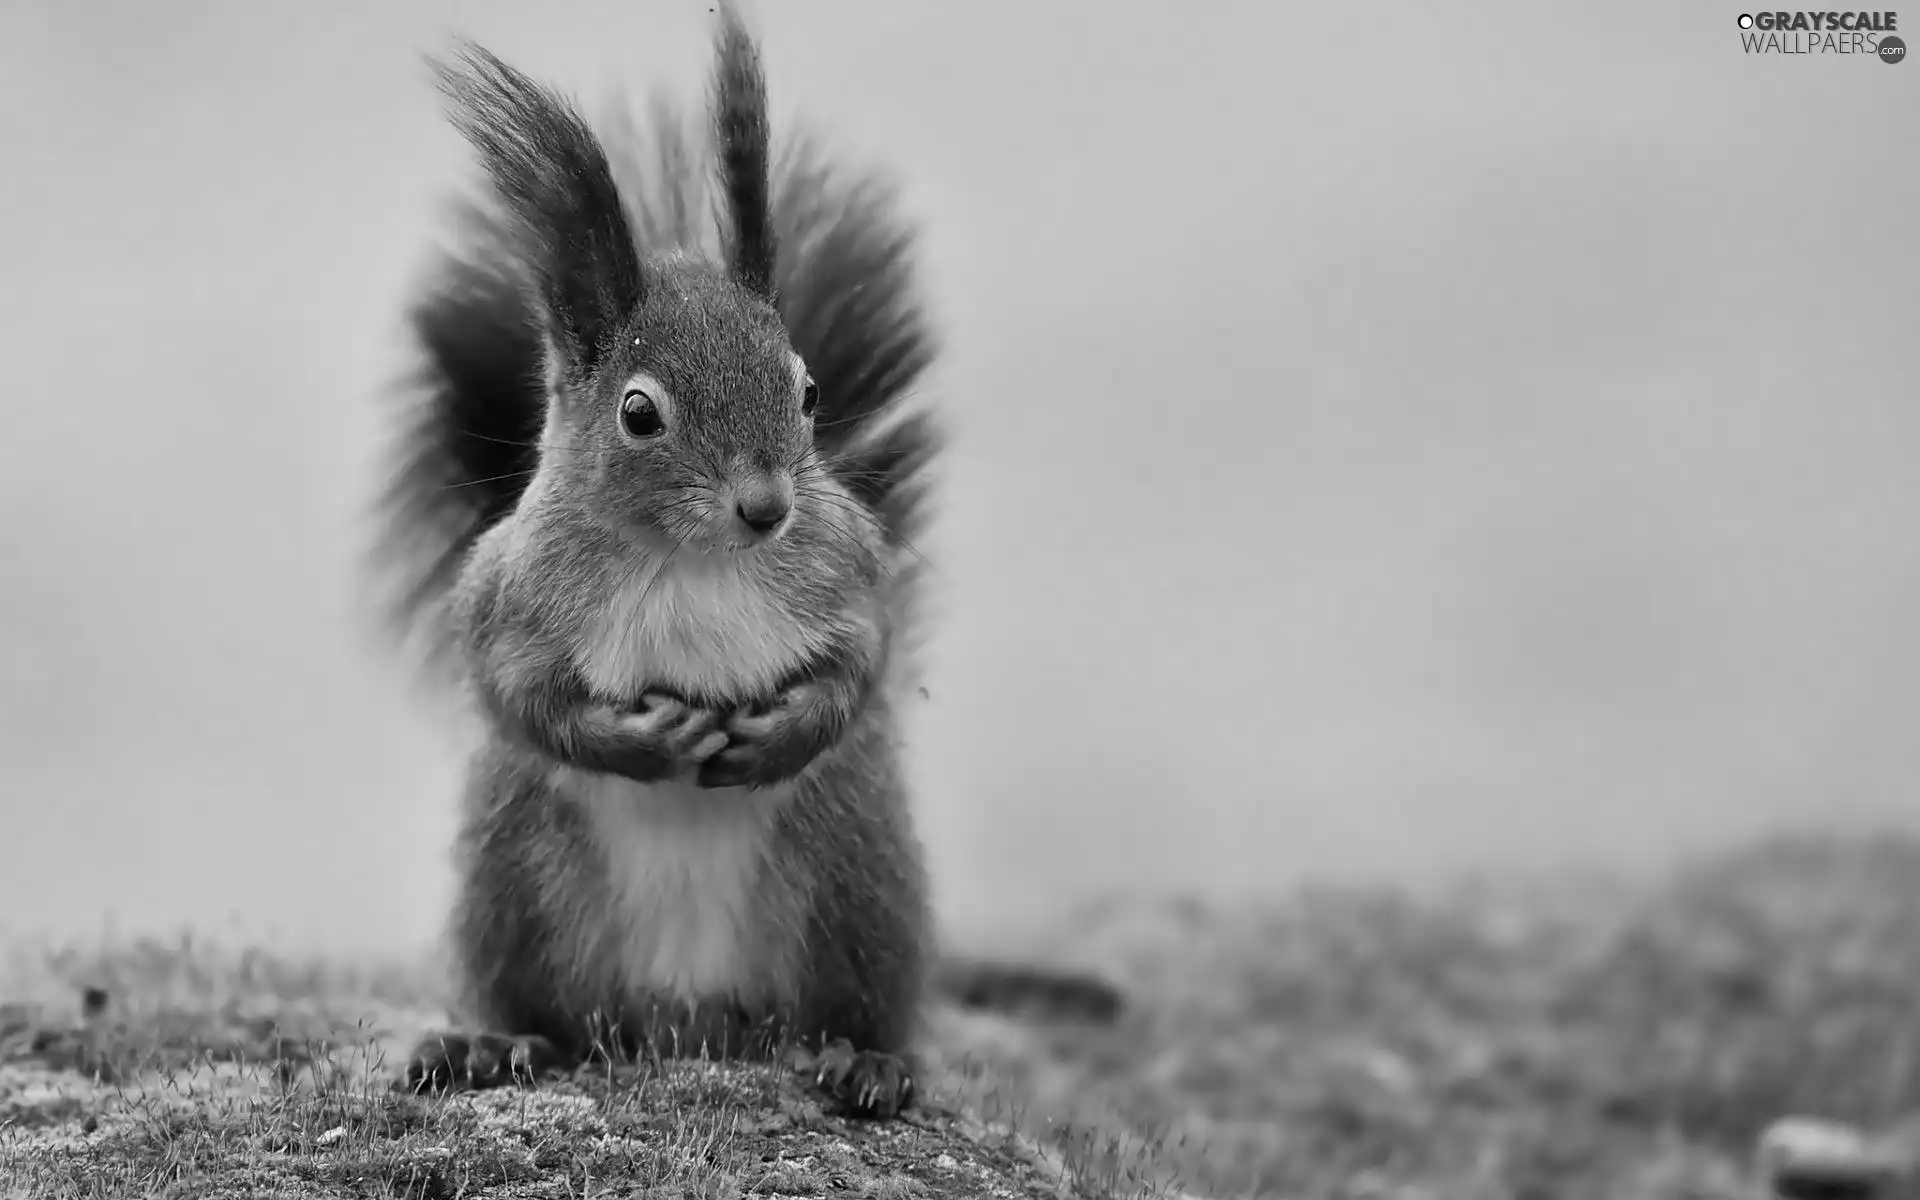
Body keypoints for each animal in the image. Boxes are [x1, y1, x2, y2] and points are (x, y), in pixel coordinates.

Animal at [366, 4, 1121, 1121]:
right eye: (639, 414)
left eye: (805, 391)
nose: (767, 507)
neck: (691, 558)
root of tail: (689, 1024)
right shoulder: (512, 596)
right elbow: (514, 694)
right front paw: (641, 742)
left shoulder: (849, 571)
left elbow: (865, 659)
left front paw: (781, 733)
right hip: (518, 879)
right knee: (555, 1017)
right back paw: (495, 1044)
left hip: (853, 876)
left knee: (850, 1007)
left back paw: (865, 1060)